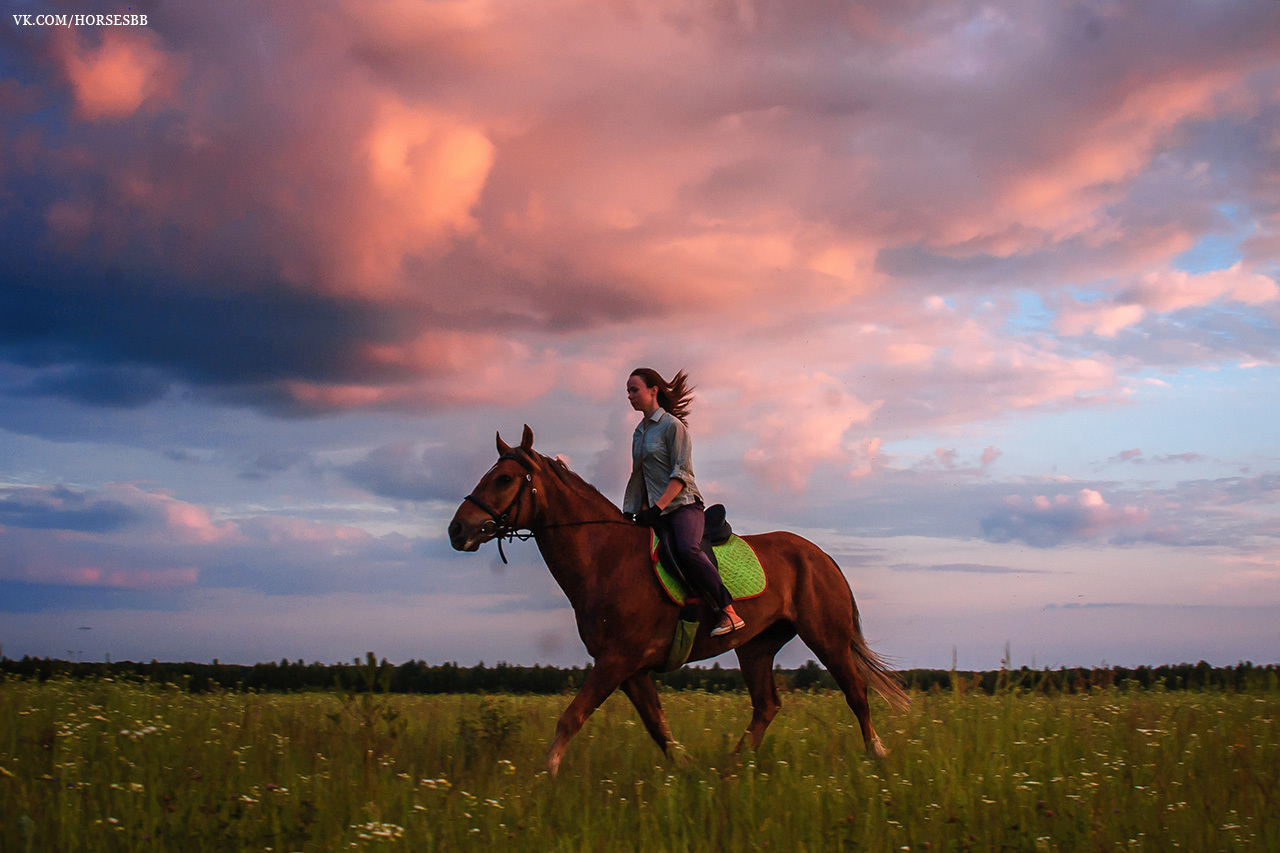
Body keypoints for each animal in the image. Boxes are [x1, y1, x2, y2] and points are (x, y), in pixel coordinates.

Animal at [445, 425, 906, 768]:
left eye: (504, 478)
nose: (457, 530)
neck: (607, 558)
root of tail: (821, 555)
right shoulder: (630, 669)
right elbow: (659, 729)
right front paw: (688, 773)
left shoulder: (617, 660)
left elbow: (571, 718)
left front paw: (546, 776)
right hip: (756, 646)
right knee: (767, 705)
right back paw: (732, 767)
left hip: (826, 638)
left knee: (855, 692)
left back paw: (878, 755)